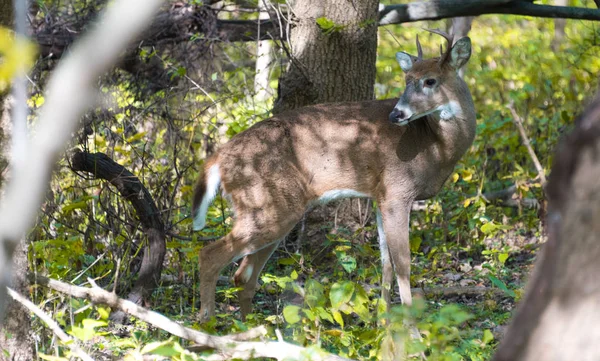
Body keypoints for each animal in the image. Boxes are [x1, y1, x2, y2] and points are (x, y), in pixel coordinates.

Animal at [191, 28, 474, 320]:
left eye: (430, 80)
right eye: (407, 80)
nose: (397, 113)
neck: (436, 147)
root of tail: (218, 158)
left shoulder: (380, 196)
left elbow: (385, 262)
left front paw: (382, 322)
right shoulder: (398, 191)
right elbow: (403, 264)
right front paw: (410, 327)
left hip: (268, 208)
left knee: (243, 274)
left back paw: (248, 326)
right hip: (265, 203)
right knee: (210, 255)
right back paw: (206, 323)